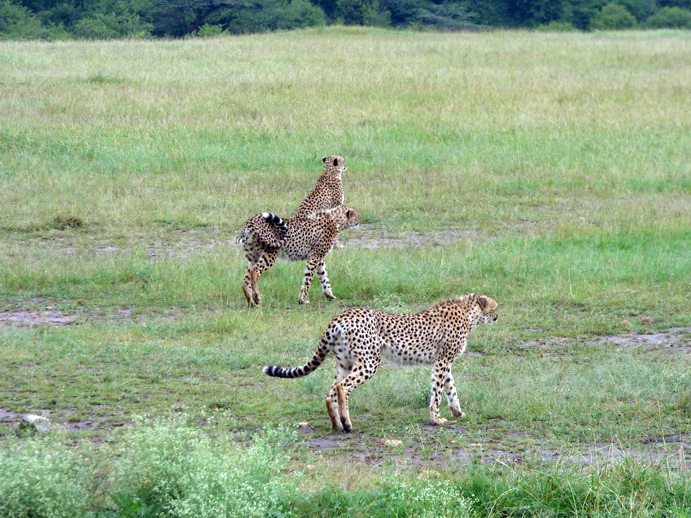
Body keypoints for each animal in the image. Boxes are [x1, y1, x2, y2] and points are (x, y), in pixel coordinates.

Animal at [264, 294, 498, 432]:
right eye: (495, 307)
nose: (498, 317)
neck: (469, 313)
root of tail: (342, 315)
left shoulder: (443, 362)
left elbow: (451, 388)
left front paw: (458, 412)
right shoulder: (442, 361)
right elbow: (438, 392)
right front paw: (437, 419)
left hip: (344, 363)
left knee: (330, 392)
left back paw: (336, 424)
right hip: (369, 362)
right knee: (342, 388)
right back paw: (347, 423)